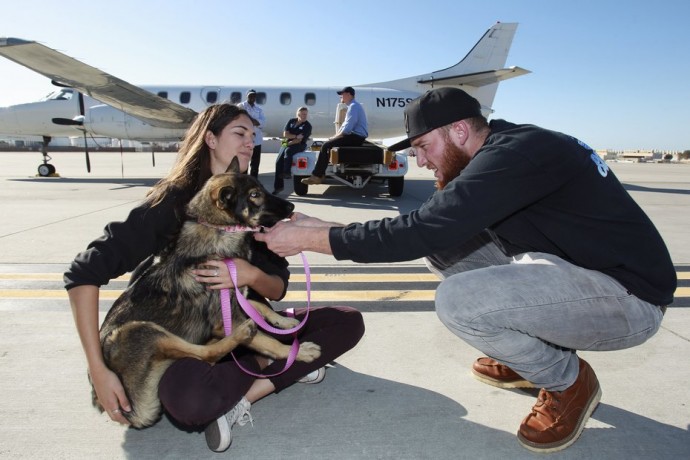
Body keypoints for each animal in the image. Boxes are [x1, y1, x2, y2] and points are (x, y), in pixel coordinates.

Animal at [92, 158, 322, 428]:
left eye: (261, 189)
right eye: (254, 195)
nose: (292, 205)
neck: (220, 229)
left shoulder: (237, 295)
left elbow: (260, 306)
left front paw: (283, 321)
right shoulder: (228, 316)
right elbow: (268, 340)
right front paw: (296, 352)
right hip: (142, 330)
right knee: (205, 354)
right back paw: (238, 336)